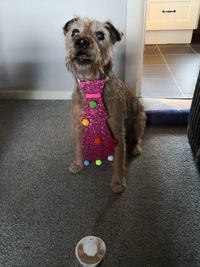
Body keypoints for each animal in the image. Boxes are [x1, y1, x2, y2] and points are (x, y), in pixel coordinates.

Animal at [63, 16, 146, 194]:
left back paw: (135, 148)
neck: (91, 82)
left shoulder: (117, 130)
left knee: (137, 139)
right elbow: (79, 146)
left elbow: (119, 160)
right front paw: (79, 164)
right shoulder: (78, 126)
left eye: (100, 35)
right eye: (74, 32)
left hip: (139, 121)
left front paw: (118, 182)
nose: (81, 41)